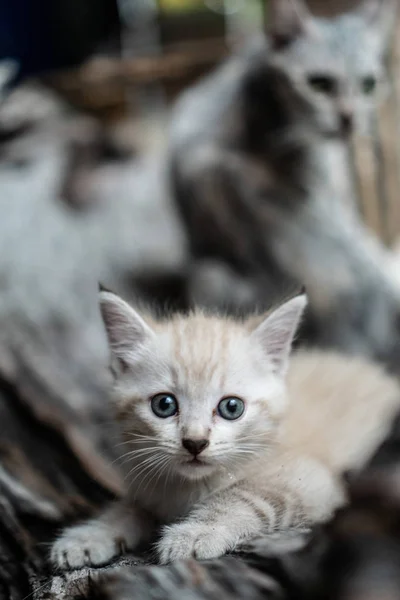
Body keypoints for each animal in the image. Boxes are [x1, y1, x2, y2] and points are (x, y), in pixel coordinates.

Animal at [50, 290, 400, 568]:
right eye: (164, 405)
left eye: (231, 408)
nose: (195, 442)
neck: (189, 489)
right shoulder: (150, 486)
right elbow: (127, 509)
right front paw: (89, 536)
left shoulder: (316, 482)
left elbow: (243, 496)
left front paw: (197, 532)